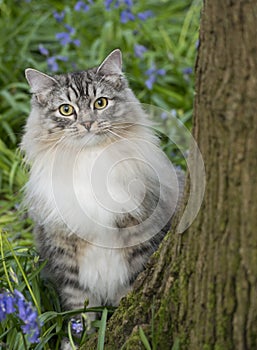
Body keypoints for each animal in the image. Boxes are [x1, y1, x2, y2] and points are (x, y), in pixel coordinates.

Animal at [21, 49, 182, 336]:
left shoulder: (138, 241)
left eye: (100, 103)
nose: (87, 123)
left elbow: (127, 293)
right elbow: (78, 313)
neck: (90, 159)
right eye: (66, 110)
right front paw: (77, 340)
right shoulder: (67, 255)